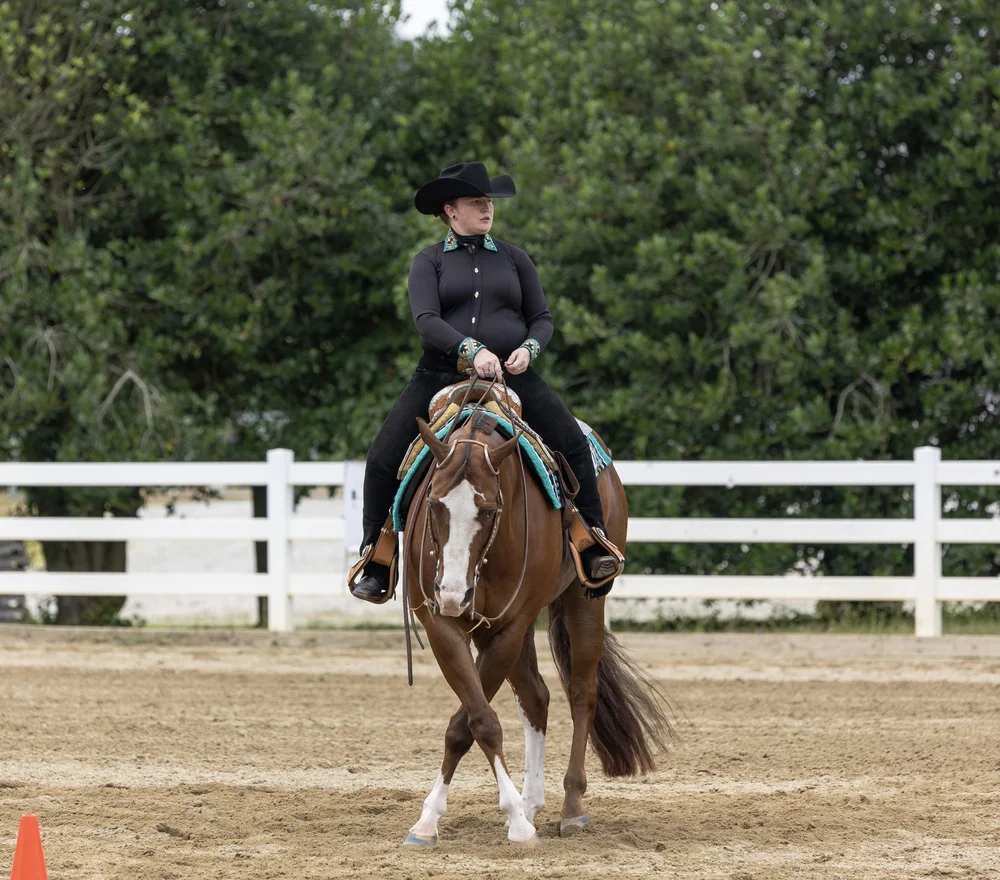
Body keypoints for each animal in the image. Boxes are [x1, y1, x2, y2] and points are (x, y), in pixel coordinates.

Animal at [400, 394, 673, 846]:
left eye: (489, 510)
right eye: (435, 503)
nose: (453, 594)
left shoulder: (507, 629)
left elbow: (472, 724)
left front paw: (514, 821)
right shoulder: (444, 626)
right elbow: (475, 719)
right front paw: (429, 821)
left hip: (582, 601)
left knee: (582, 693)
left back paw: (571, 807)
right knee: (536, 696)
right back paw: (532, 803)